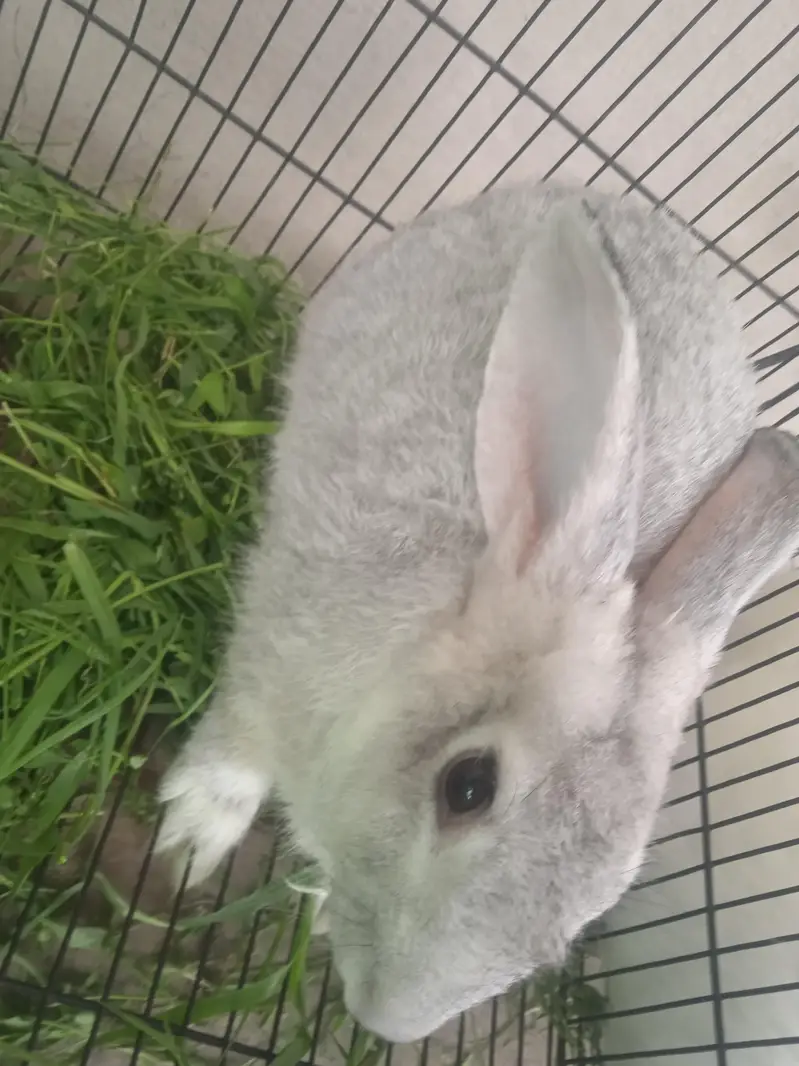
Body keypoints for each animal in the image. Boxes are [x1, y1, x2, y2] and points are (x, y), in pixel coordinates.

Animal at [156, 183, 799, 1044]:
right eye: (467, 786)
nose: (386, 1019)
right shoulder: (267, 659)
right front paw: (191, 839)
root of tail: (605, 195)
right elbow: (233, 752)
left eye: (595, 905)